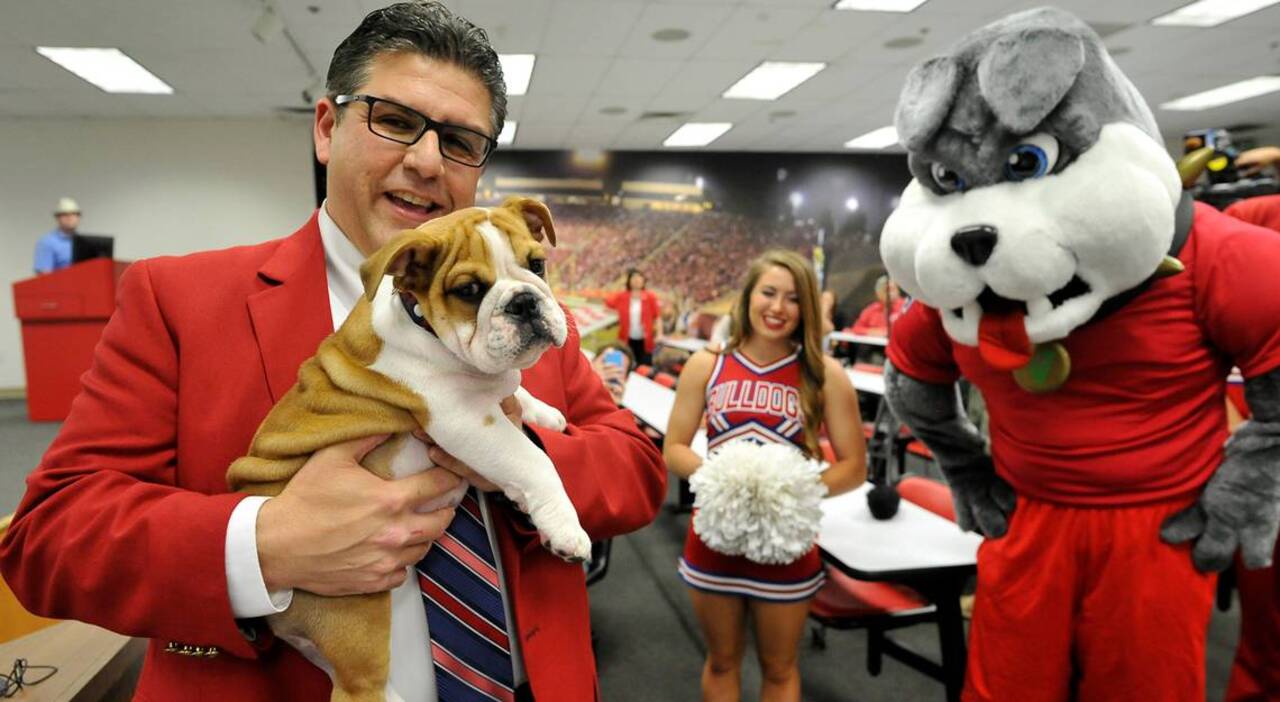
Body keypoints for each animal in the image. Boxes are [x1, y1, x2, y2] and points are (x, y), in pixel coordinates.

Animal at [226, 195, 588, 702]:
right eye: (469, 290)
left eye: (537, 264)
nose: (523, 300)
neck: (426, 327)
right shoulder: (465, 420)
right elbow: (533, 462)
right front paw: (566, 529)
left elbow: (516, 391)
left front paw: (545, 414)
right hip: (359, 620)